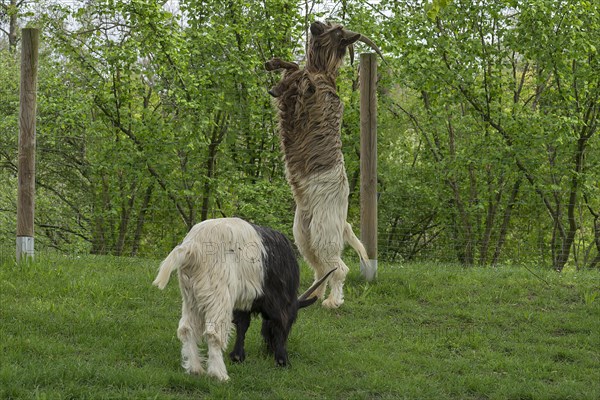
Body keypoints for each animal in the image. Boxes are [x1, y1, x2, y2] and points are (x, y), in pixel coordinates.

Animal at [152, 217, 336, 380]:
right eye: (293, 321)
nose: (269, 349)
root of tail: (192, 247)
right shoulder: (278, 302)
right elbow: (278, 324)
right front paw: (282, 360)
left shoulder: (244, 302)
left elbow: (242, 324)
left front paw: (237, 356)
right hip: (218, 295)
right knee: (213, 333)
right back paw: (219, 374)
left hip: (191, 297)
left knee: (187, 328)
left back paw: (195, 369)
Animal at [268, 21, 384, 310]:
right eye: (331, 25)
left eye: (339, 32)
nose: (314, 24)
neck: (323, 73)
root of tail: (343, 222)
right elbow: (294, 70)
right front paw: (274, 67)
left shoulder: (309, 97)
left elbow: (302, 77)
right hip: (304, 235)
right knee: (321, 268)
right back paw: (313, 296)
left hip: (324, 233)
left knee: (338, 268)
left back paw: (333, 301)